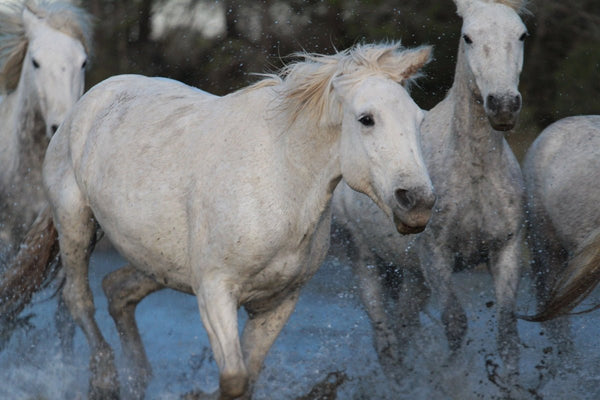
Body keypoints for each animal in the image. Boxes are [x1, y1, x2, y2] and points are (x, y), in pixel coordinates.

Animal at [330, 0, 528, 388]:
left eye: (522, 34)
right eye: (468, 36)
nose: (502, 105)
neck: (474, 174)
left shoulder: (506, 249)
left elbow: (508, 334)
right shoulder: (436, 254)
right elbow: (455, 324)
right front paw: (453, 379)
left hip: (409, 275)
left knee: (404, 327)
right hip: (365, 257)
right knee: (385, 338)